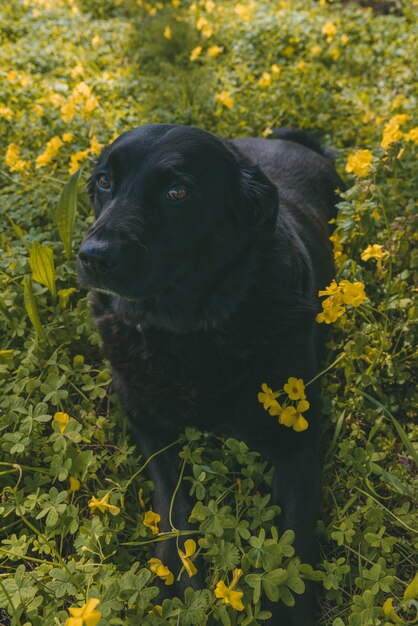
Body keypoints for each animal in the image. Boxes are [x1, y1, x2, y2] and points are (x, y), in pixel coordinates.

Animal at [77, 124, 342, 620]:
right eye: (104, 181)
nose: (93, 256)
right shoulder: (147, 424)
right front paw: (177, 580)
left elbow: (293, 533)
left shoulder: (297, 434)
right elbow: (173, 506)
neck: (186, 331)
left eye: (177, 192)